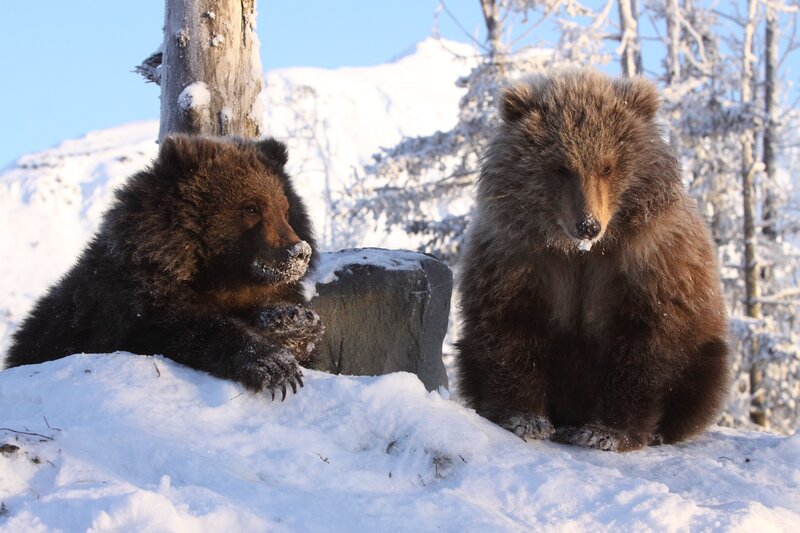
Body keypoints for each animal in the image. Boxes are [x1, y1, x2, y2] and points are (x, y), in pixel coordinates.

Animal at [4, 134, 323, 399]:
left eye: (285, 209)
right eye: (251, 207)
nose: (298, 252)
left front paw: (292, 323)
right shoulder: (133, 301)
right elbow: (186, 325)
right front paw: (273, 364)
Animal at [455, 69, 730, 452]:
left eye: (607, 166)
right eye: (561, 167)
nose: (588, 225)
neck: (579, 253)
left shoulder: (647, 266)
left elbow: (642, 349)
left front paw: (604, 432)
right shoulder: (519, 261)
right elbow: (511, 331)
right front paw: (524, 418)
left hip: (703, 345)